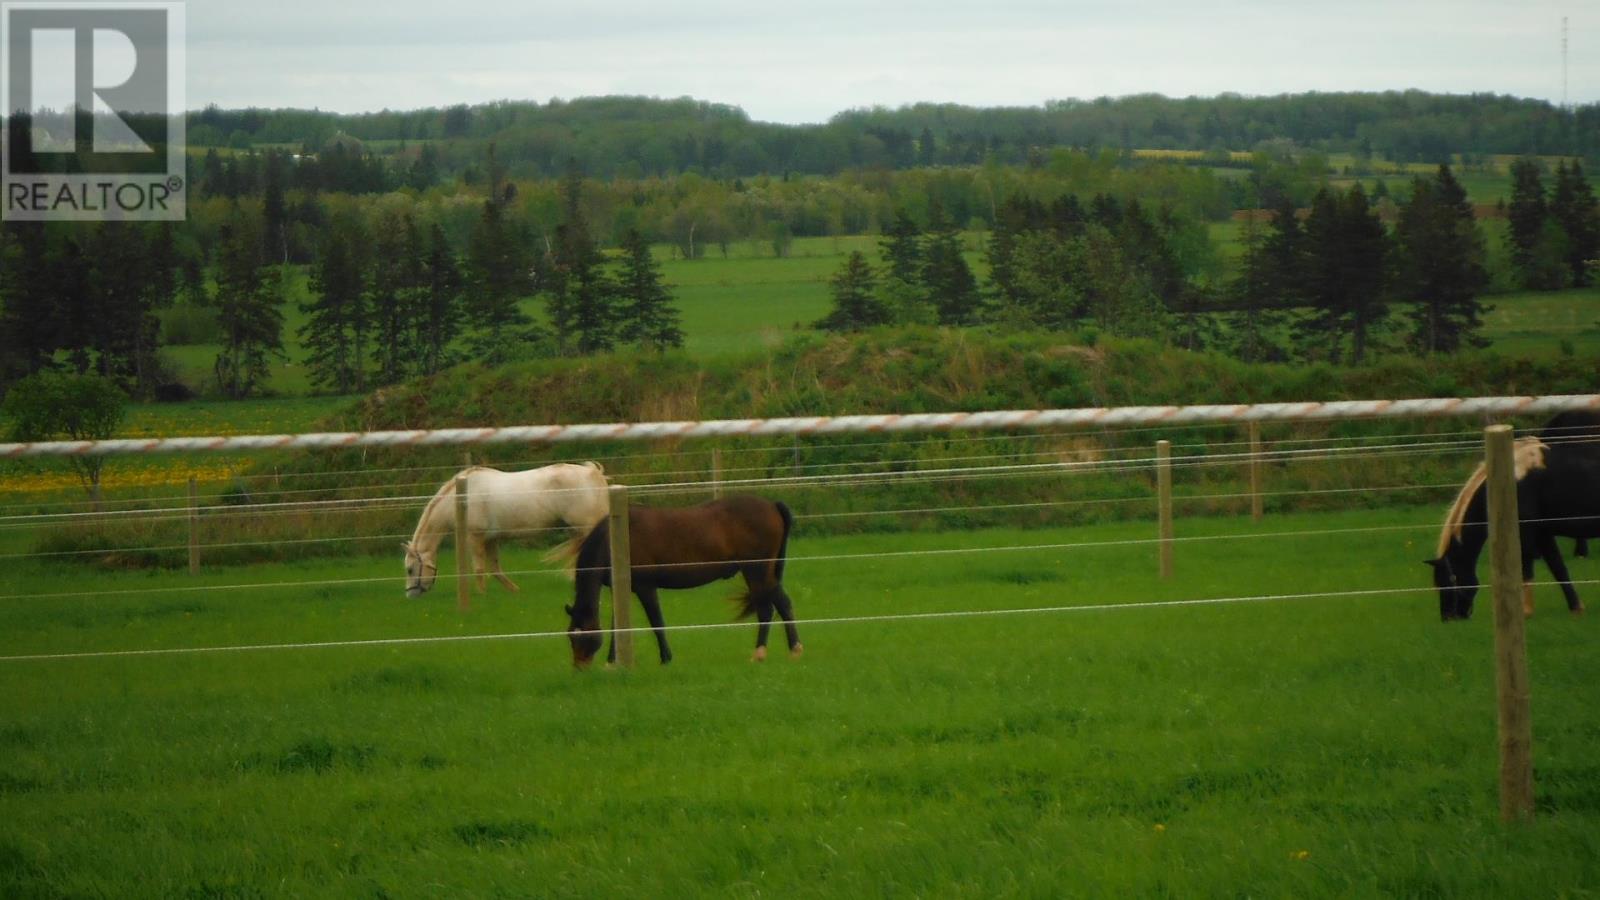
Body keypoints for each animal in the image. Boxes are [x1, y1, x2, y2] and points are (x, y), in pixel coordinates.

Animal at [406, 461, 611, 595]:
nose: (410, 594)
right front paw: (514, 591)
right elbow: (495, 568)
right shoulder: (491, 539)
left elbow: (479, 568)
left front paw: (481, 594)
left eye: (409, 569)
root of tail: (592, 472)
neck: (460, 499)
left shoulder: (475, 537)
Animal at [569, 490, 806, 666]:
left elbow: (657, 622)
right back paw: (793, 650)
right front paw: (612, 662)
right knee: (782, 604)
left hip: (757, 571)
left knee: (768, 609)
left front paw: (666, 658)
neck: (615, 539)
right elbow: (617, 626)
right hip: (763, 574)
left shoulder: (646, 587)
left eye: (579, 634)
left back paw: (763, 653)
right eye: (570, 634)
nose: (580, 667)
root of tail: (772, 505)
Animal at [1433, 413, 1600, 614]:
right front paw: (1576, 607)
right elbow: (1558, 568)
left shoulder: (1525, 533)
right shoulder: (1543, 534)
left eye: (1449, 581)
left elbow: (1526, 568)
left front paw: (1525, 611)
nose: (1449, 617)